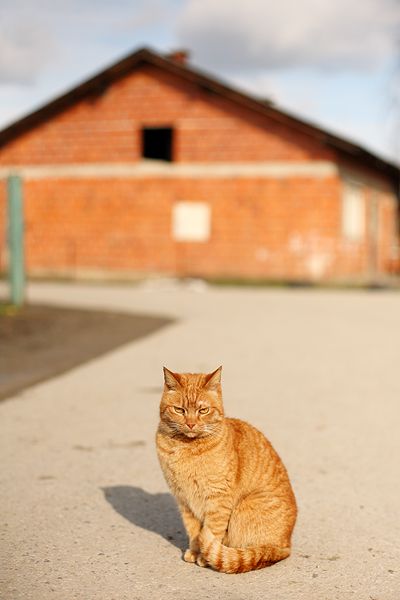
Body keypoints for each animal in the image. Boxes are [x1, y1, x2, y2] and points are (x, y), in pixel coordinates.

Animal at [156, 366, 296, 572]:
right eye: (179, 410)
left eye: (203, 410)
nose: (190, 423)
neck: (186, 447)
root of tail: (286, 545)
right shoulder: (184, 501)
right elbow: (193, 531)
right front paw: (195, 551)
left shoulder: (218, 498)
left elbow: (211, 532)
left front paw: (204, 557)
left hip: (243, 509)